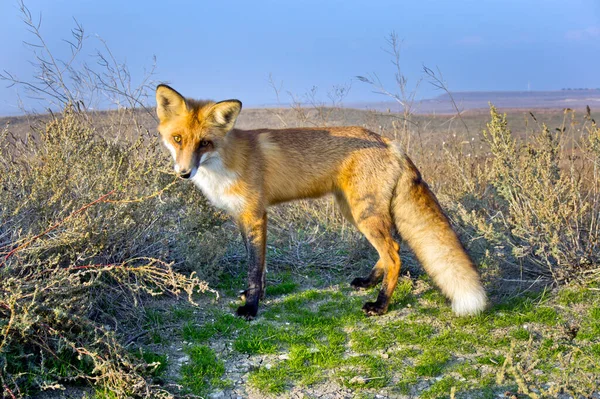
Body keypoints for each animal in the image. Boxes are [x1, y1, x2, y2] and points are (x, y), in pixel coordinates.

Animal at [155, 84, 488, 318]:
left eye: (205, 143)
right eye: (178, 139)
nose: (184, 173)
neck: (225, 162)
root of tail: (391, 143)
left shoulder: (255, 215)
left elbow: (254, 269)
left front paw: (251, 307)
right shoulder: (242, 218)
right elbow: (260, 268)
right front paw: (256, 296)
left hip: (364, 213)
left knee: (394, 255)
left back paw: (380, 304)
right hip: (353, 212)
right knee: (392, 247)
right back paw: (368, 282)